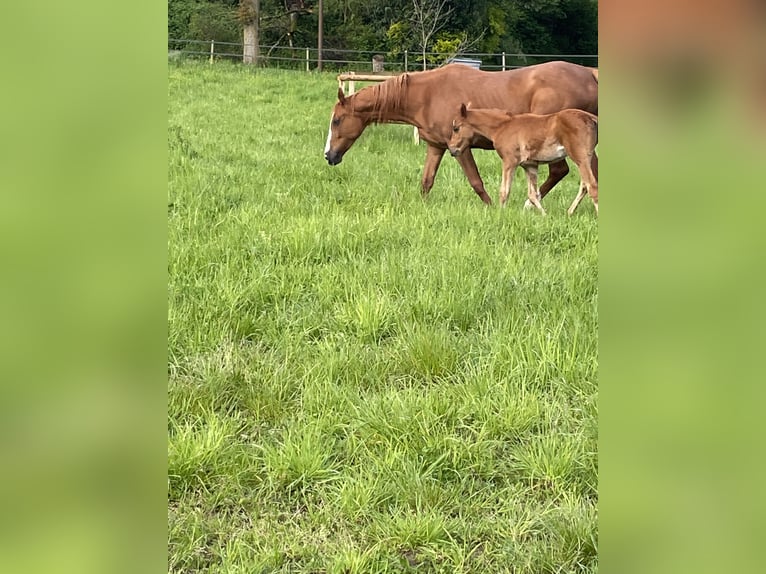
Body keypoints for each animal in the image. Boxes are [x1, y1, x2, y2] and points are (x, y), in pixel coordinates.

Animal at [450, 104, 600, 216]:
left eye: (456, 128)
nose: (452, 149)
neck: (503, 126)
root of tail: (591, 117)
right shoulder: (530, 165)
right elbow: (533, 194)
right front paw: (544, 216)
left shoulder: (509, 162)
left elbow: (504, 191)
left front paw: (501, 214)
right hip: (586, 158)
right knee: (584, 185)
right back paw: (569, 212)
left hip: (580, 158)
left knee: (591, 185)